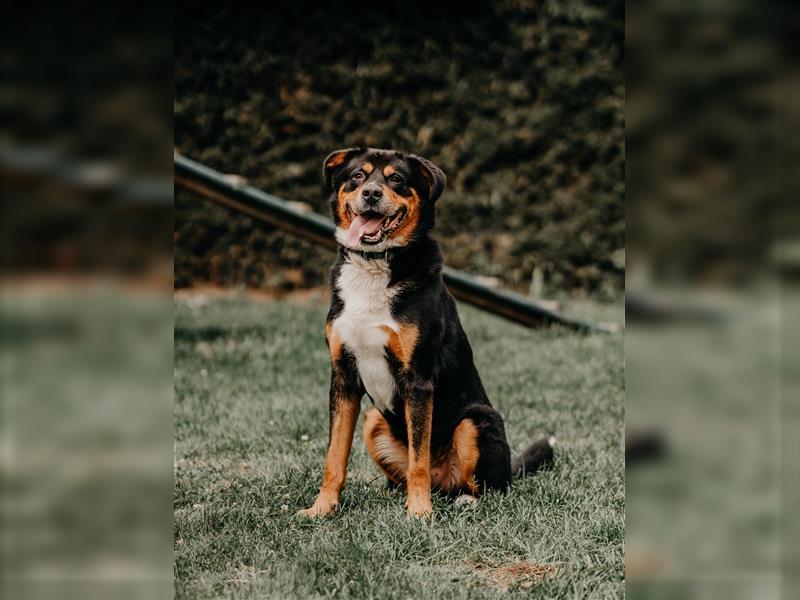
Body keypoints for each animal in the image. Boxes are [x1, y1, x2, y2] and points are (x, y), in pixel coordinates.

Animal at [296, 148, 552, 516]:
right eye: (357, 176)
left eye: (396, 180)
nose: (370, 194)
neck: (374, 267)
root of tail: (442, 482)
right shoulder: (343, 376)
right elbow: (335, 456)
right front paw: (322, 508)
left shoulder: (417, 380)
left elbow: (419, 460)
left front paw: (419, 513)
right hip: (374, 420)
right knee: (405, 475)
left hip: (475, 422)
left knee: (486, 485)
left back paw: (463, 499)